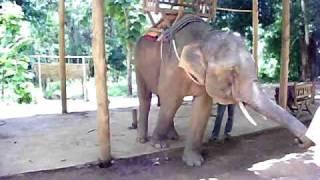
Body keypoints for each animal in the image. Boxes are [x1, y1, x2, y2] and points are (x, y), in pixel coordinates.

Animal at [134, 14, 314, 167]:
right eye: (232, 72)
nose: (299, 142)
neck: (204, 38)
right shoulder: (172, 67)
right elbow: (172, 101)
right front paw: (158, 145)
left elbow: (202, 107)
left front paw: (194, 162)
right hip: (138, 63)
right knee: (147, 97)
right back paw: (144, 140)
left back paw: (173, 136)